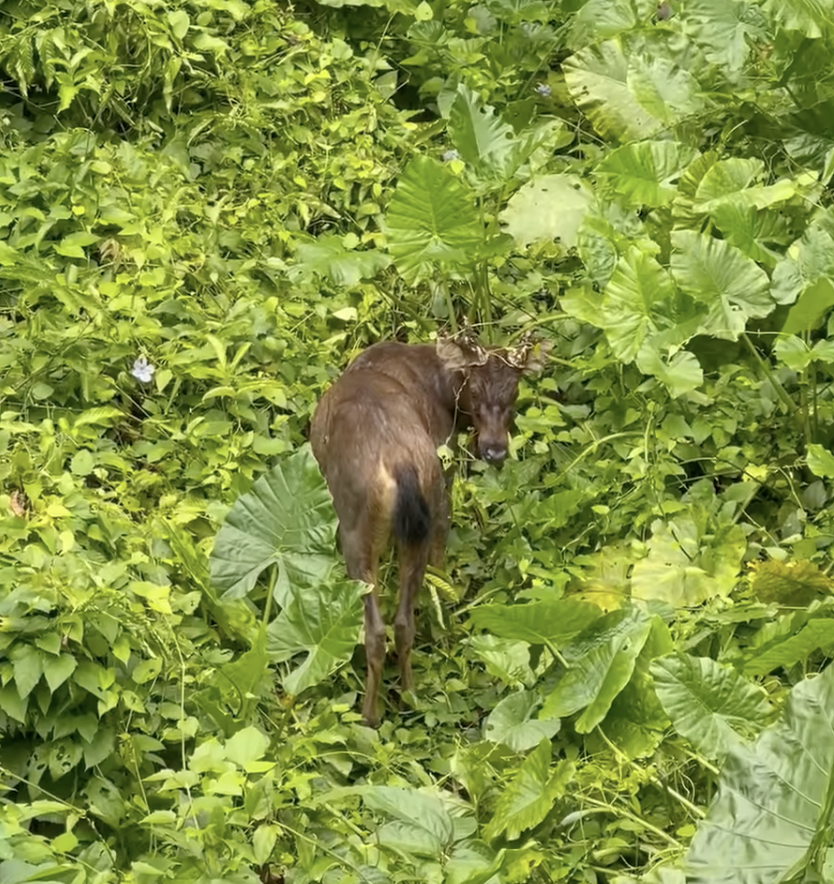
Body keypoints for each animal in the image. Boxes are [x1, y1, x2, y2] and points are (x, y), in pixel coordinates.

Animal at [308, 332, 544, 724]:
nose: (495, 450)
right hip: (422, 504)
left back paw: (369, 717)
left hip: (357, 524)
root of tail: (400, 465)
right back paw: (411, 697)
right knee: (404, 620)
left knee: (377, 627)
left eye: (514, 390)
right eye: (474, 388)